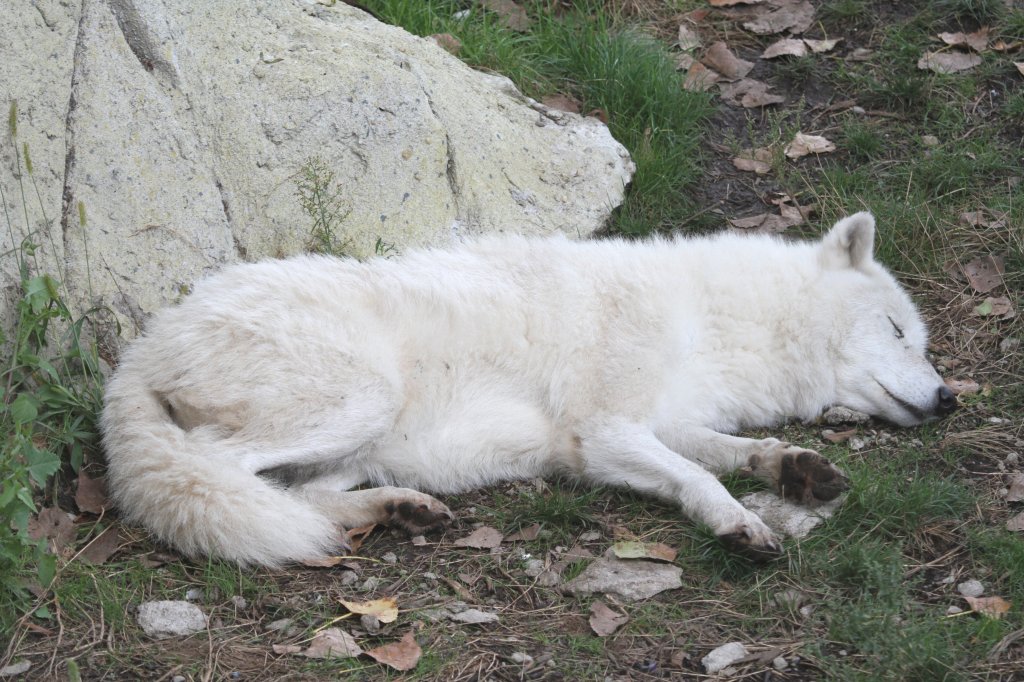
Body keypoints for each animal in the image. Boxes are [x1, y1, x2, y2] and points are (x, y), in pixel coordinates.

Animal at [99, 212, 954, 561]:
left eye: (919, 340)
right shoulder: (603, 433)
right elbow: (700, 476)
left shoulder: (660, 422)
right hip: (356, 401)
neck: (713, 319)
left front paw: (796, 468)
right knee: (220, 475)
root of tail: (140, 349)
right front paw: (739, 523)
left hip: (359, 444)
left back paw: (401, 512)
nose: (949, 397)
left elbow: (734, 450)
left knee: (299, 497)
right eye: (898, 330)